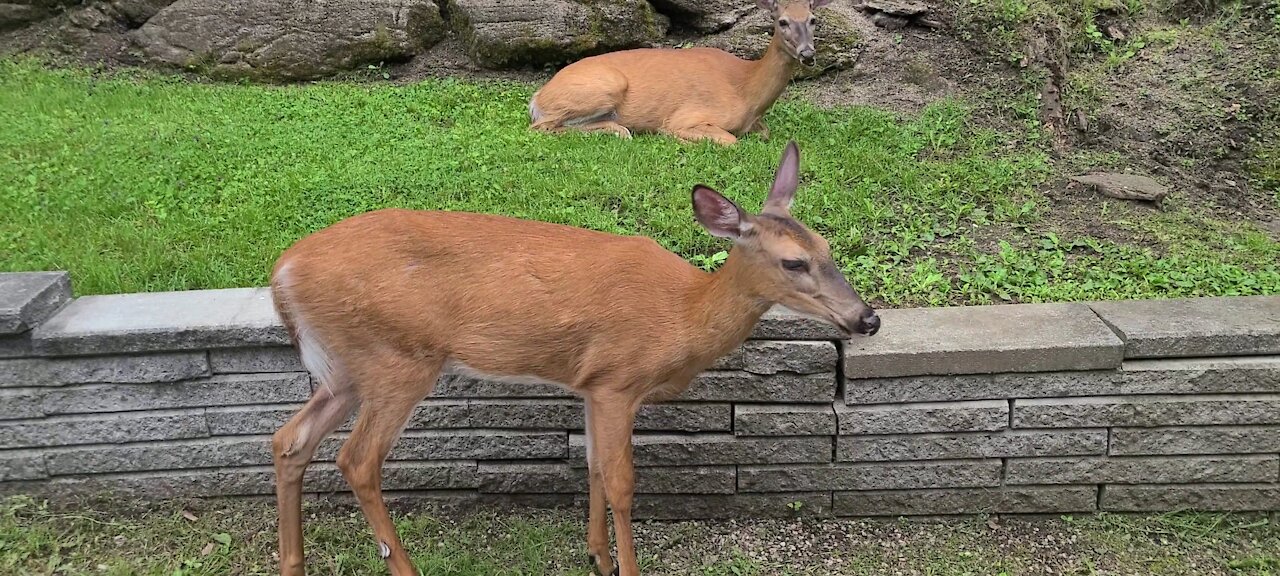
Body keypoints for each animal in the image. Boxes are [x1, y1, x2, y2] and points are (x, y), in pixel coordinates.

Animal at [264, 140, 875, 576]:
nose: (866, 318)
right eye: (794, 262)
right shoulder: (619, 379)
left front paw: (597, 557)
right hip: (398, 356)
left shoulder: (591, 383)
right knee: (357, 459)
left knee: (289, 439)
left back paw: (293, 565)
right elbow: (622, 479)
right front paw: (625, 568)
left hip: (349, 366)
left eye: (827, 248)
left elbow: (594, 465)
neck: (681, 313)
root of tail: (283, 272)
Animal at [527, 0, 834, 146]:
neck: (745, 89)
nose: (808, 54)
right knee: (541, 127)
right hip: (606, 86)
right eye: (782, 21)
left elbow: (764, 133)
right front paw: (674, 138)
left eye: (813, 20)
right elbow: (729, 140)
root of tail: (537, 97)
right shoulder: (688, 115)